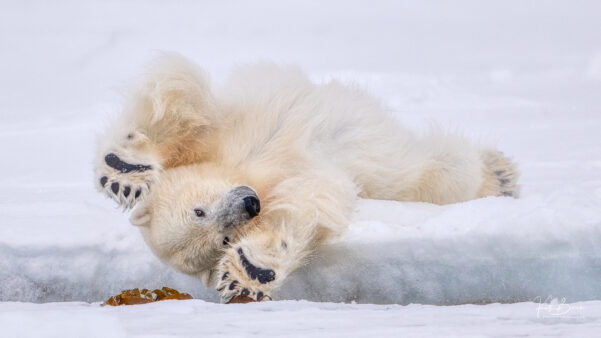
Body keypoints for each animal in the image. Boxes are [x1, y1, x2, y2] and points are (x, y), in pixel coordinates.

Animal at [94, 54, 516, 302]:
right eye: (222, 240)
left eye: (199, 210)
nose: (249, 204)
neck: (244, 171)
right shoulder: (296, 180)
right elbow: (306, 204)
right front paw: (249, 271)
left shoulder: (220, 133)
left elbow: (181, 97)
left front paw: (123, 171)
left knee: (443, 170)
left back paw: (500, 174)